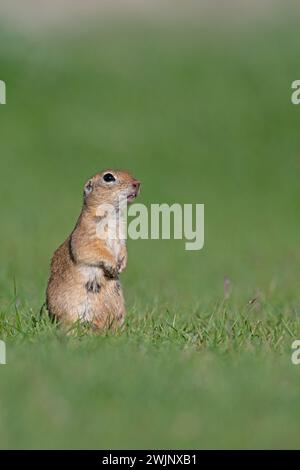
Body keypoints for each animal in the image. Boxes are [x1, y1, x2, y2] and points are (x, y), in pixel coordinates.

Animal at [46, 170, 141, 330]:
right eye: (108, 177)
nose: (137, 183)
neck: (114, 216)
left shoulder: (121, 237)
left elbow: (123, 249)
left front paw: (122, 264)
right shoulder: (87, 235)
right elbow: (92, 250)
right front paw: (112, 265)